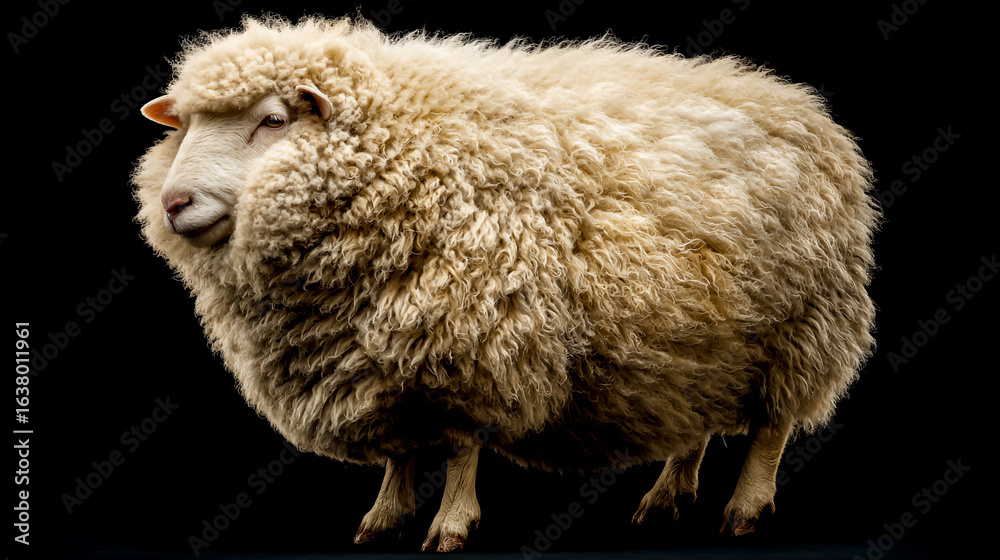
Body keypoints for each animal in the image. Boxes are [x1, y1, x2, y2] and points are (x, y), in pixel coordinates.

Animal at [133, 15, 878, 552]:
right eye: (185, 127)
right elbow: (399, 452)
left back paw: (745, 509)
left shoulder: (473, 344)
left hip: (800, 327)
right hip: (698, 340)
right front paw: (383, 517)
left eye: (273, 119)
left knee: (772, 429)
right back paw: (667, 497)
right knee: (692, 419)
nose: (174, 203)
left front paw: (450, 526)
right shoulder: (381, 362)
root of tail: (800, 103)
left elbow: (462, 448)